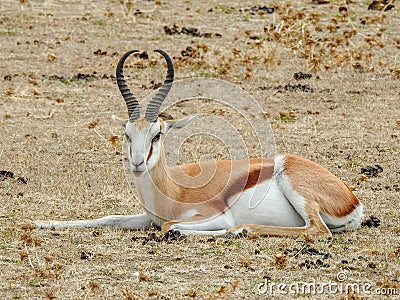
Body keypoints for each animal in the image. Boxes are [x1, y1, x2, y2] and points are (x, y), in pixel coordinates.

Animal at [36, 48, 364, 237]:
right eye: (127, 134)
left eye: (158, 133)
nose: (138, 163)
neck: (173, 190)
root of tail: (353, 200)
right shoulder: (146, 217)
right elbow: (108, 217)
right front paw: (41, 224)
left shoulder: (213, 214)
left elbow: (169, 226)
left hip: (294, 186)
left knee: (318, 231)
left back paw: (240, 230)